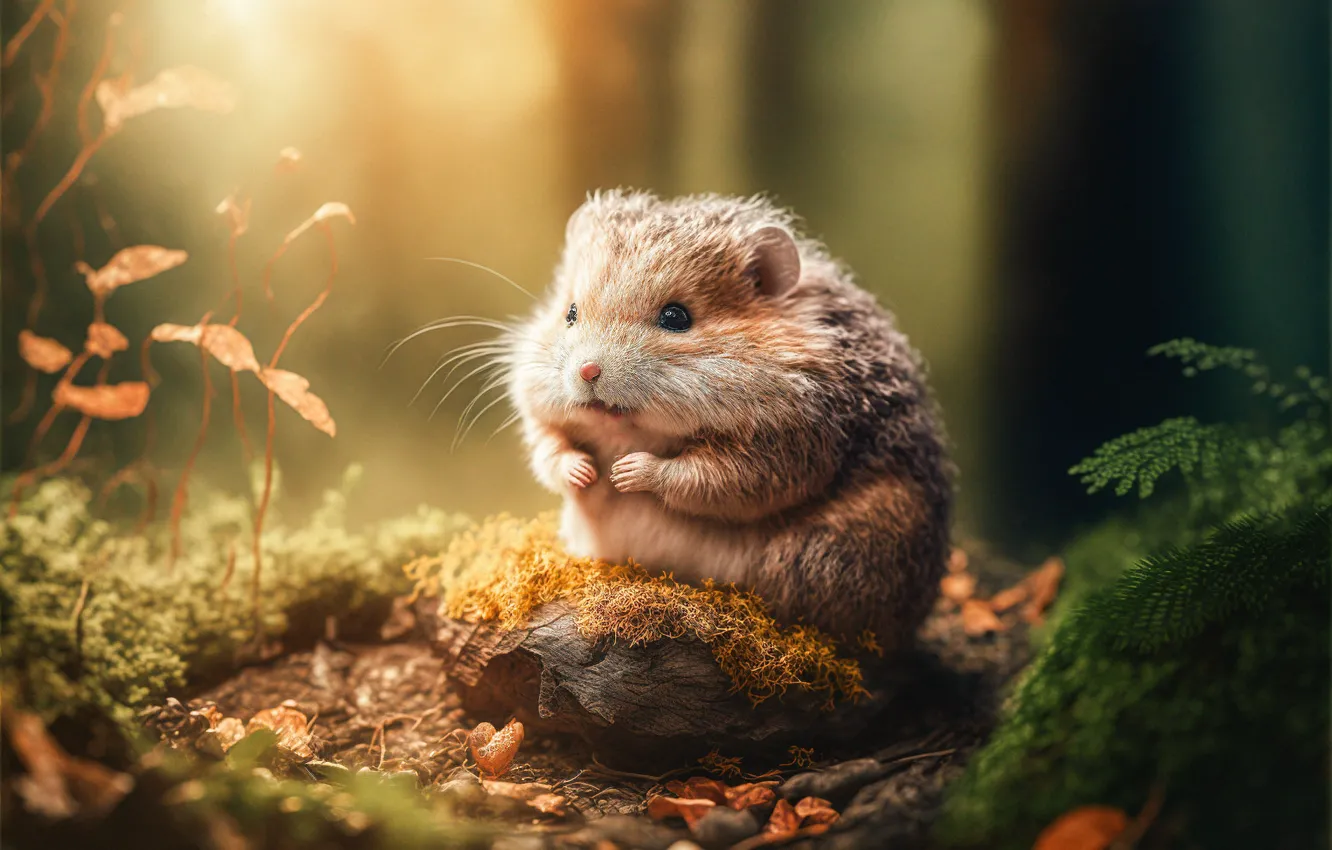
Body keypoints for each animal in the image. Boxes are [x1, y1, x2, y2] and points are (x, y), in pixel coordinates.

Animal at [505, 189, 953, 650]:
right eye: (570, 312)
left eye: (676, 317)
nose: (587, 371)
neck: (629, 432)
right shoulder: (537, 410)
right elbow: (550, 449)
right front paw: (585, 472)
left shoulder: (784, 450)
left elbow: (705, 478)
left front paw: (627, 473)